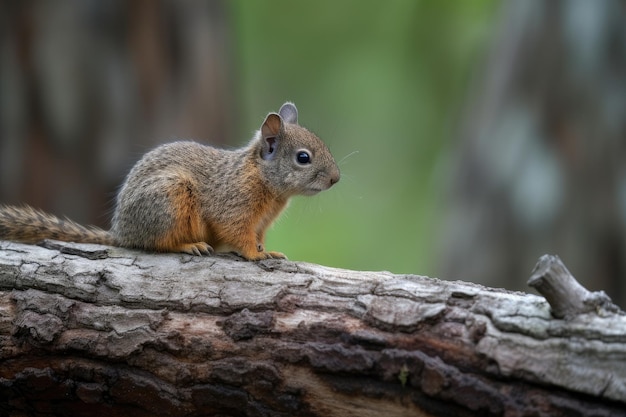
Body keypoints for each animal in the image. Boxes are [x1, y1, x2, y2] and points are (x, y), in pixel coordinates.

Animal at [0, 102, 336, 258]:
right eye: (303, 157)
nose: (335, 179)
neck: (261, 179)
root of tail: (122, 233)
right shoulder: (232, 207)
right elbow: (238, 234)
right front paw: (256, 255)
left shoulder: (261, 224)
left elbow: (258, 236)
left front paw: (269, 251)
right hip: (169, 201)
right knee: (159, 244)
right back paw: (189, 246)